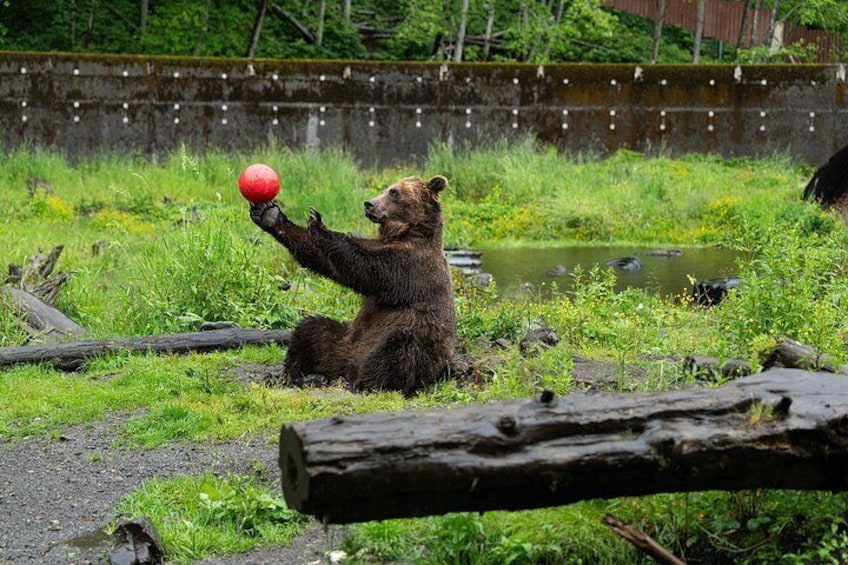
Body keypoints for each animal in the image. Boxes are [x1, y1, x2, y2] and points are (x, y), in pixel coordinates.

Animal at [249, 175, 456, 397]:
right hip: (343, 341)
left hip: (416, 340)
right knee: (312, 331)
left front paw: (318, 224)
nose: (369, 204)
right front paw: (269, 214)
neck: (405, 233)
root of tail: (346, 367)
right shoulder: (378, 244)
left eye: (394, 192)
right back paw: (298, 375)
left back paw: (364, 384)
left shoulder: (412, 265)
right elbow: (326, 260)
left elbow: (365, 265)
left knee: (399, 350)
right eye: (386, 189)